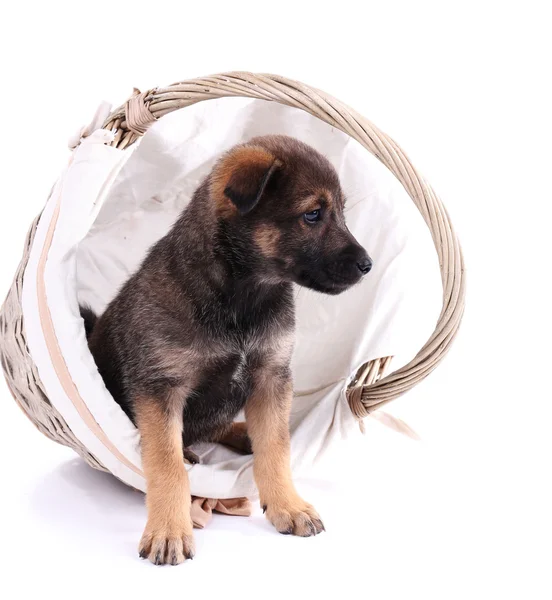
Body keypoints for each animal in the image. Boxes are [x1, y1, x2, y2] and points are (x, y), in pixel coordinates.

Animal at [82, 134, 374, 564]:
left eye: (339, 213)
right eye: (313, 214)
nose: (368, 264)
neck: (242, 296)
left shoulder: (271, 375)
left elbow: (276, 447)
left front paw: (287, 505)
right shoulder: (160, 388)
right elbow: (166, 464)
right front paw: (169, 530)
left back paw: (242, 433)